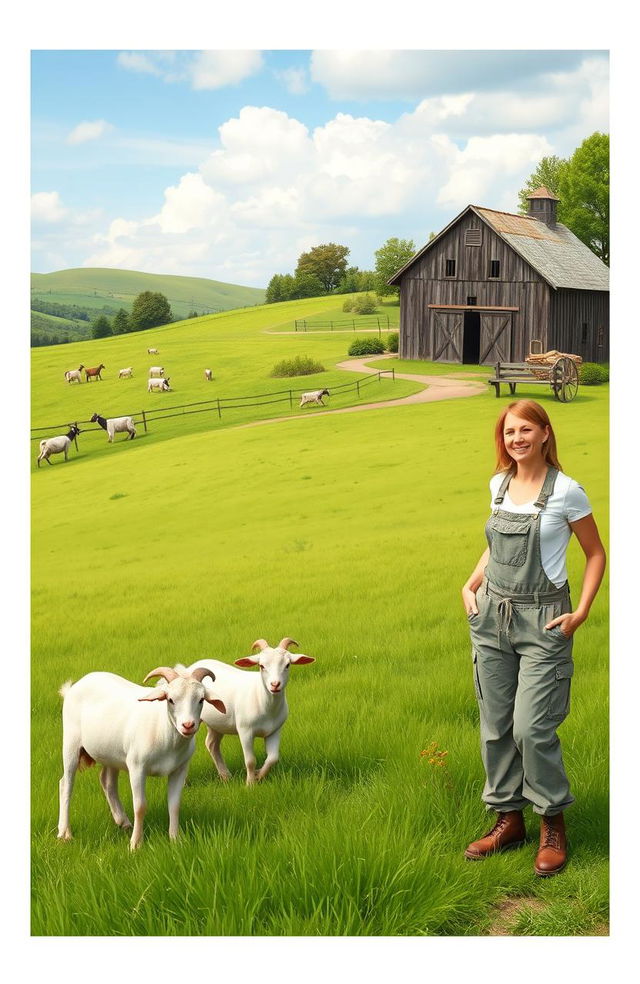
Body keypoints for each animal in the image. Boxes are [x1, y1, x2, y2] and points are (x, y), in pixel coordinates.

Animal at [57, 664, 226, 848]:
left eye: (201, 700)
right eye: (170, 700)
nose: (188, 725)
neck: (164, 731)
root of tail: (74, 686)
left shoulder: (180, 770)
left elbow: (174, 805)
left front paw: (175, 840)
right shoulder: (137, 767)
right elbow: (140, 806)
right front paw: (136, 844)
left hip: (111, 754)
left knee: (107, 781)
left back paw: (123, 821)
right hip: (71, 744)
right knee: (66, 785)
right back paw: (65, 833)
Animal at [185, 640, 316, 792]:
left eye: (287, 665)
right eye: (261, 666)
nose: (275, 685)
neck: (264, 703)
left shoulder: (275, 730)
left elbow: (273, 758)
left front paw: (258, 775)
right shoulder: (245, 730)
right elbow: (250, 760)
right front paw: (250, 784)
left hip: (217, 723)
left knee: (212, 744)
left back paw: (226, 776)